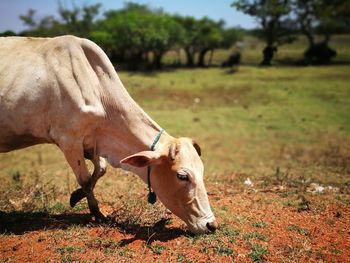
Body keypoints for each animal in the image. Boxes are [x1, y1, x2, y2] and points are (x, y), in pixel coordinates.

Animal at [0, 35, 217, 235]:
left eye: (202, 170)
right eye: (182, 176)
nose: (211, 225)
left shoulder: (92, 144)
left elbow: (100, 170)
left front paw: (76, 196)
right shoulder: (69, 140)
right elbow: (85, 179)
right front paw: (97, 213)